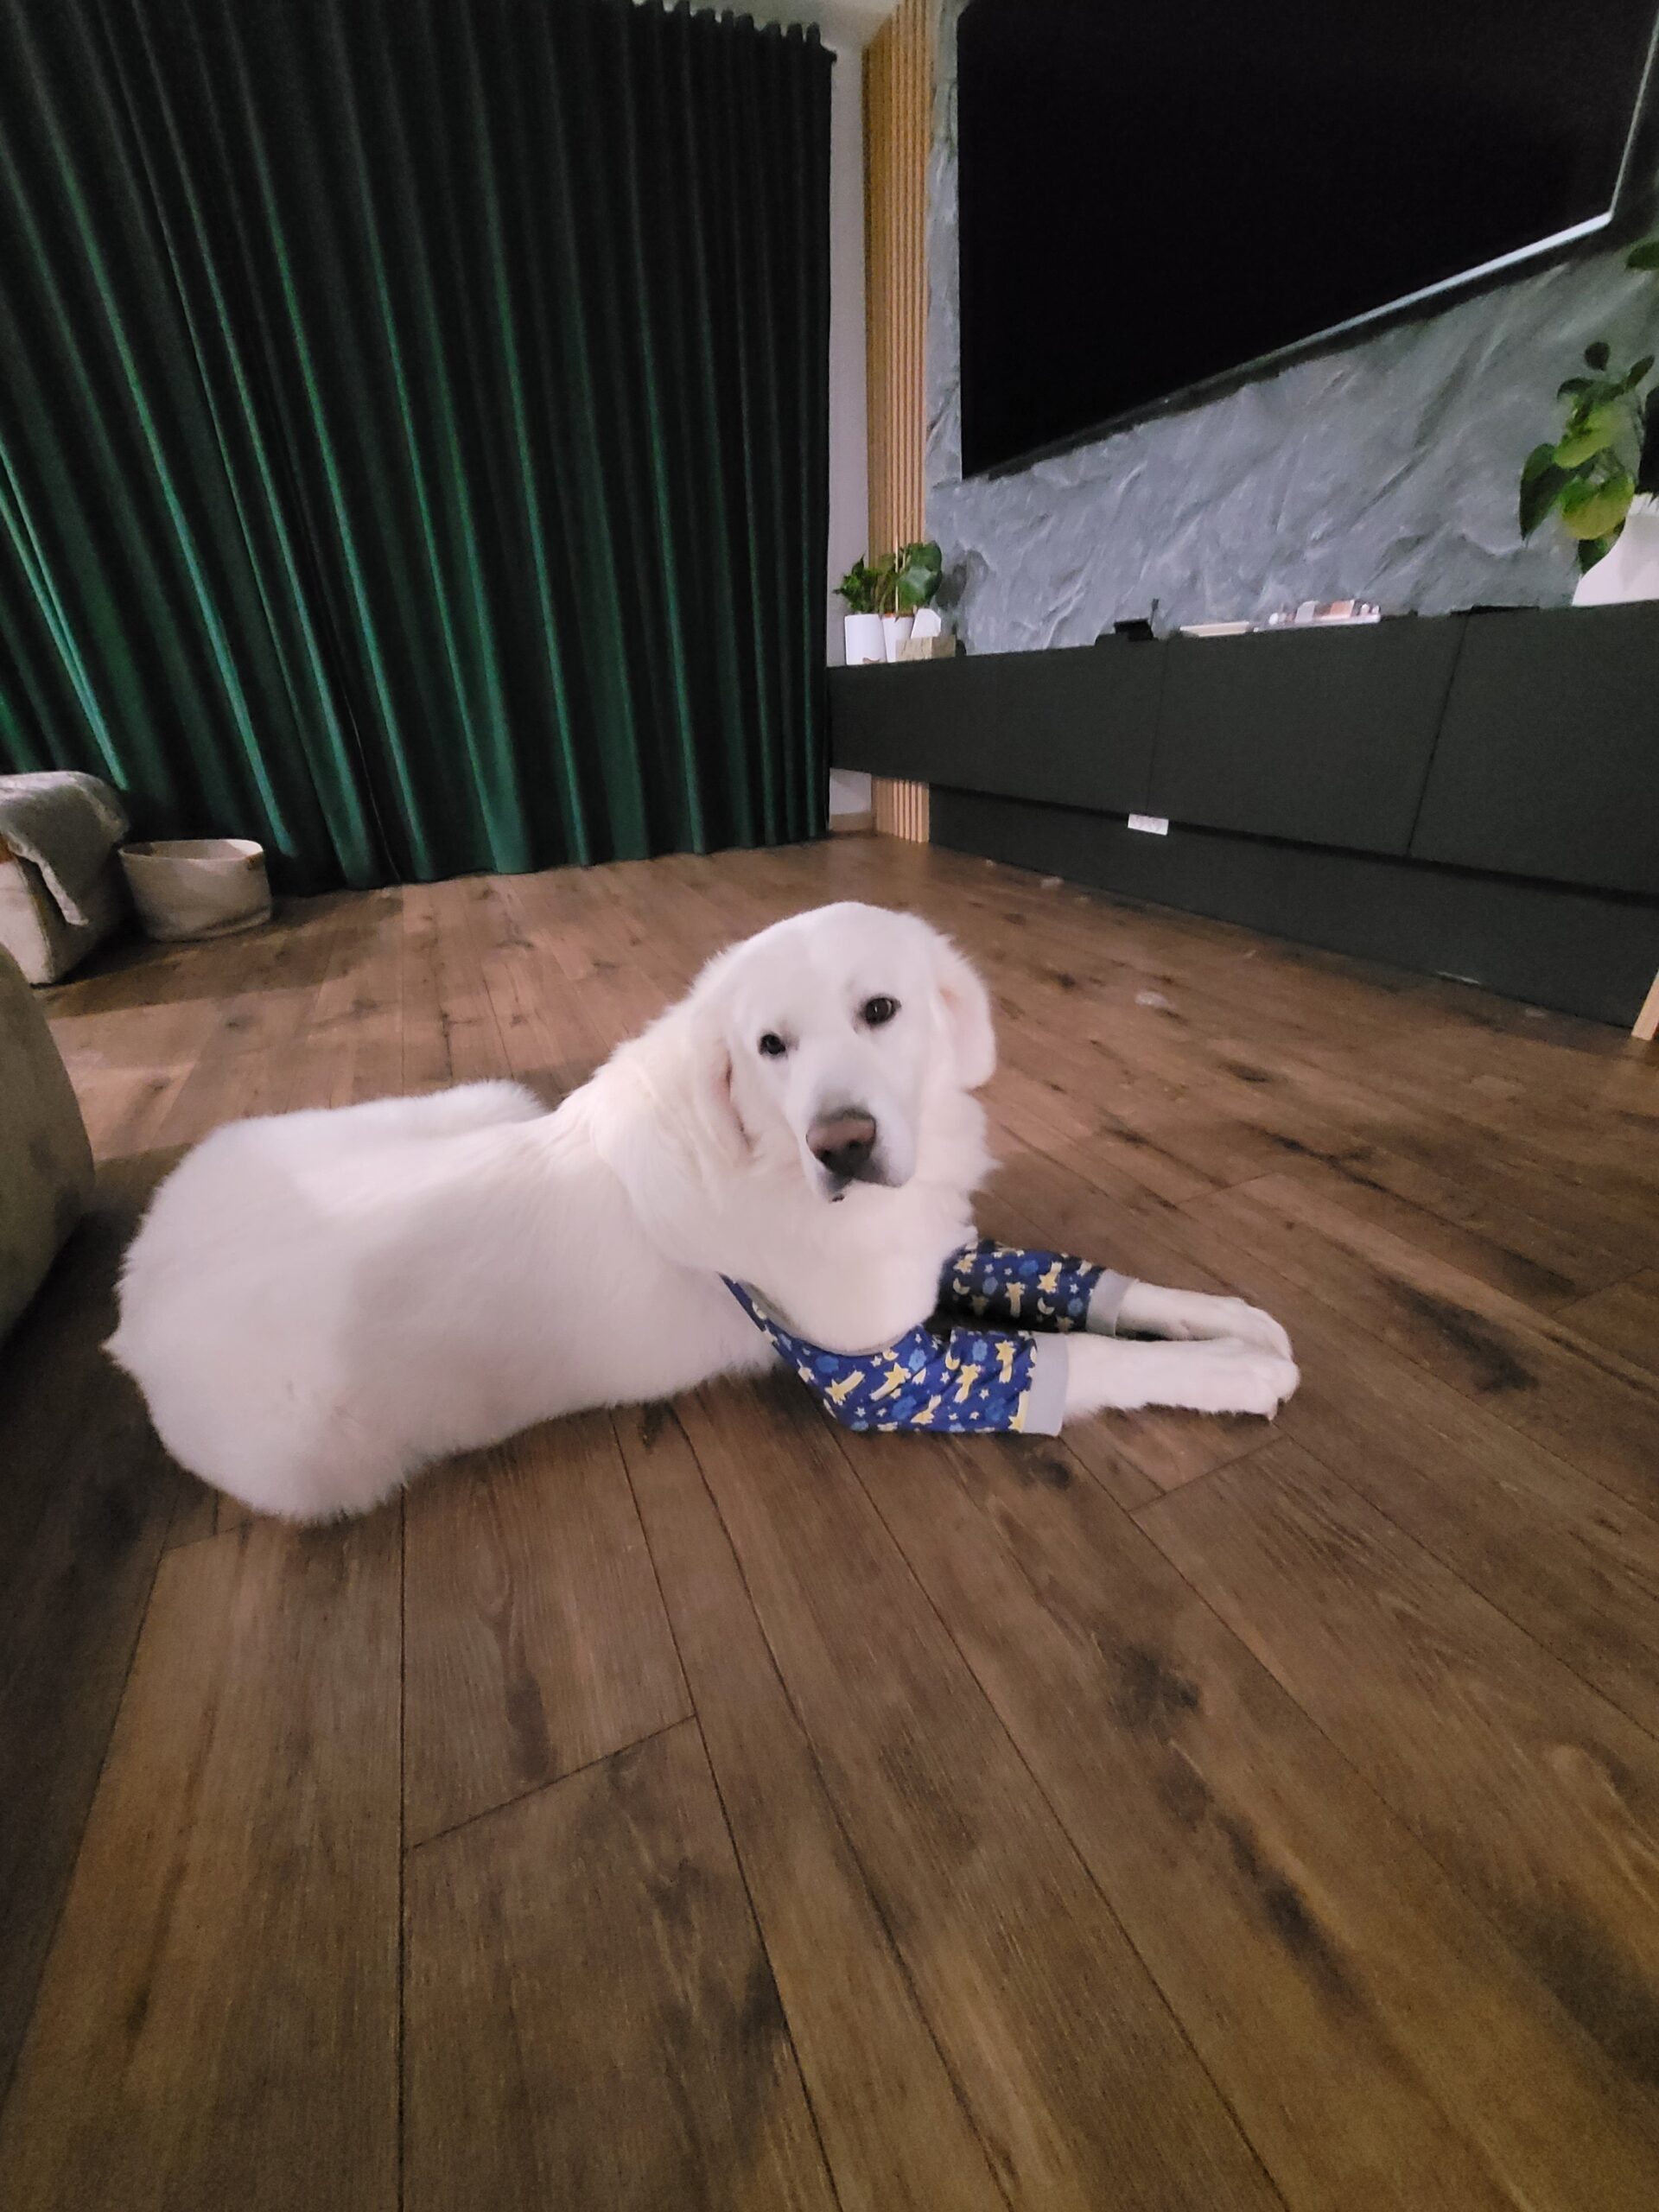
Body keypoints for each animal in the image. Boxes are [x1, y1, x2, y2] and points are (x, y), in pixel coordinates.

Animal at [108, 901, 1297, 1520]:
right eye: (770, 1046)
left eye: (881, 1009)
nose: (841, 1144)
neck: (763, 1152)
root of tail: (133, 1299)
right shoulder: (885, 1376)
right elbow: (1092, 1358)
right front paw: (1236, 1376)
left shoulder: (931, 1255)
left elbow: (1077, 1282)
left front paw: (1229, 1318)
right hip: (316, 1466)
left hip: (473, 1099)